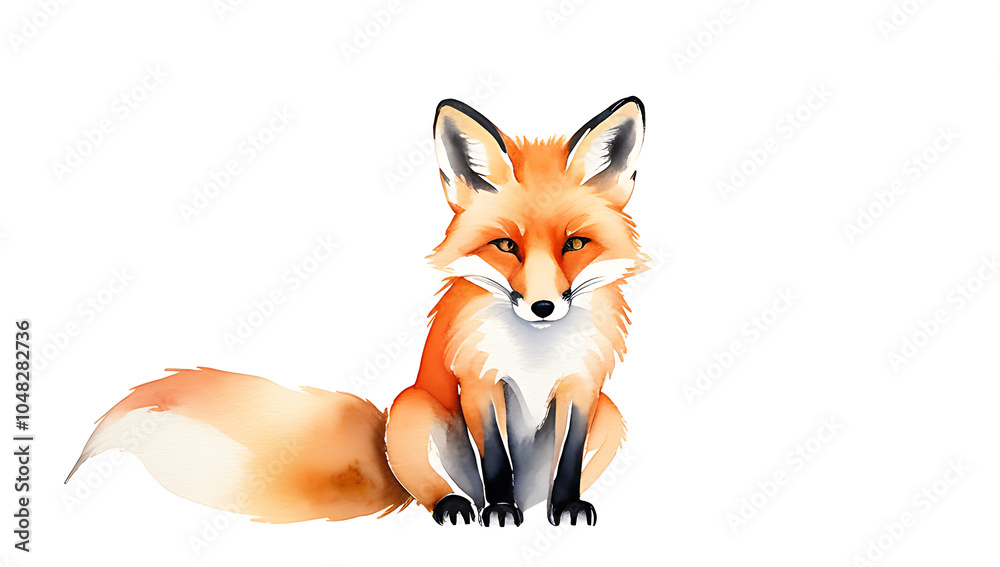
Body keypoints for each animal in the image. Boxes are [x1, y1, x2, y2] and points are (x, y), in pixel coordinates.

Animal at [67, 96, 647, 528]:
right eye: (506, 246)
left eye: (575, 244)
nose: (543, 306)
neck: (536, 353)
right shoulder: (480, 384)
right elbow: (497, 464)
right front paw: (499, 508)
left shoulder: (583, 386)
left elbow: (568, 462)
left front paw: (566, 505)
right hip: (412, 412)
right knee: (437, 490)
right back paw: (464, 506)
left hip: (613, 415)